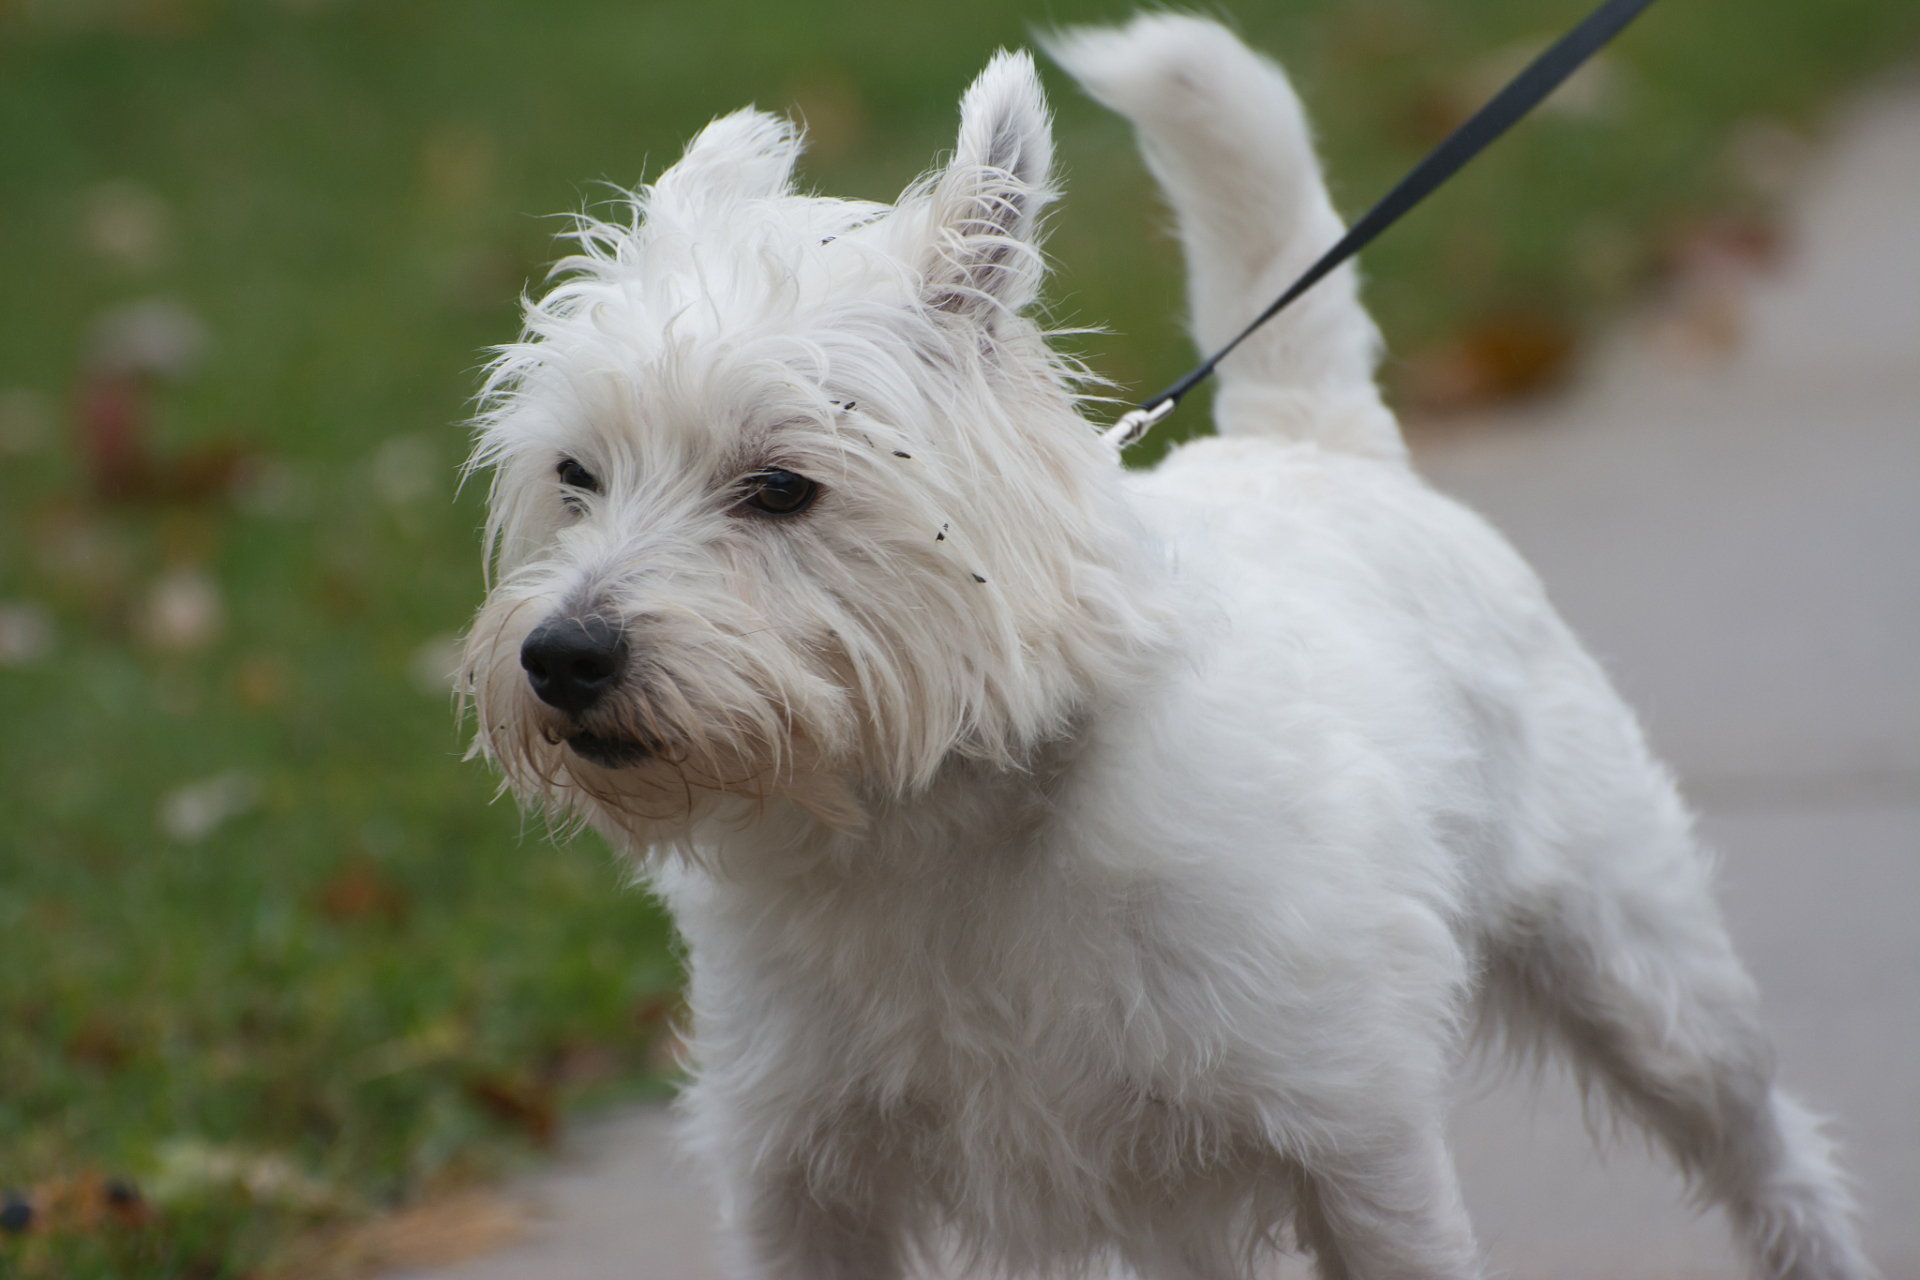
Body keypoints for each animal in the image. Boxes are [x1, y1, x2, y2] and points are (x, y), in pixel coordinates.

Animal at [456, 12, 1866, 1280]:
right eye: (576, 477)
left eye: (780, 487)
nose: (562, 656)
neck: (934, 830)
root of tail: (1316, 441)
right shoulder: (802, 1178)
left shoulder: (1354, 1133)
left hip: (1645, 973)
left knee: (1769, 1145)